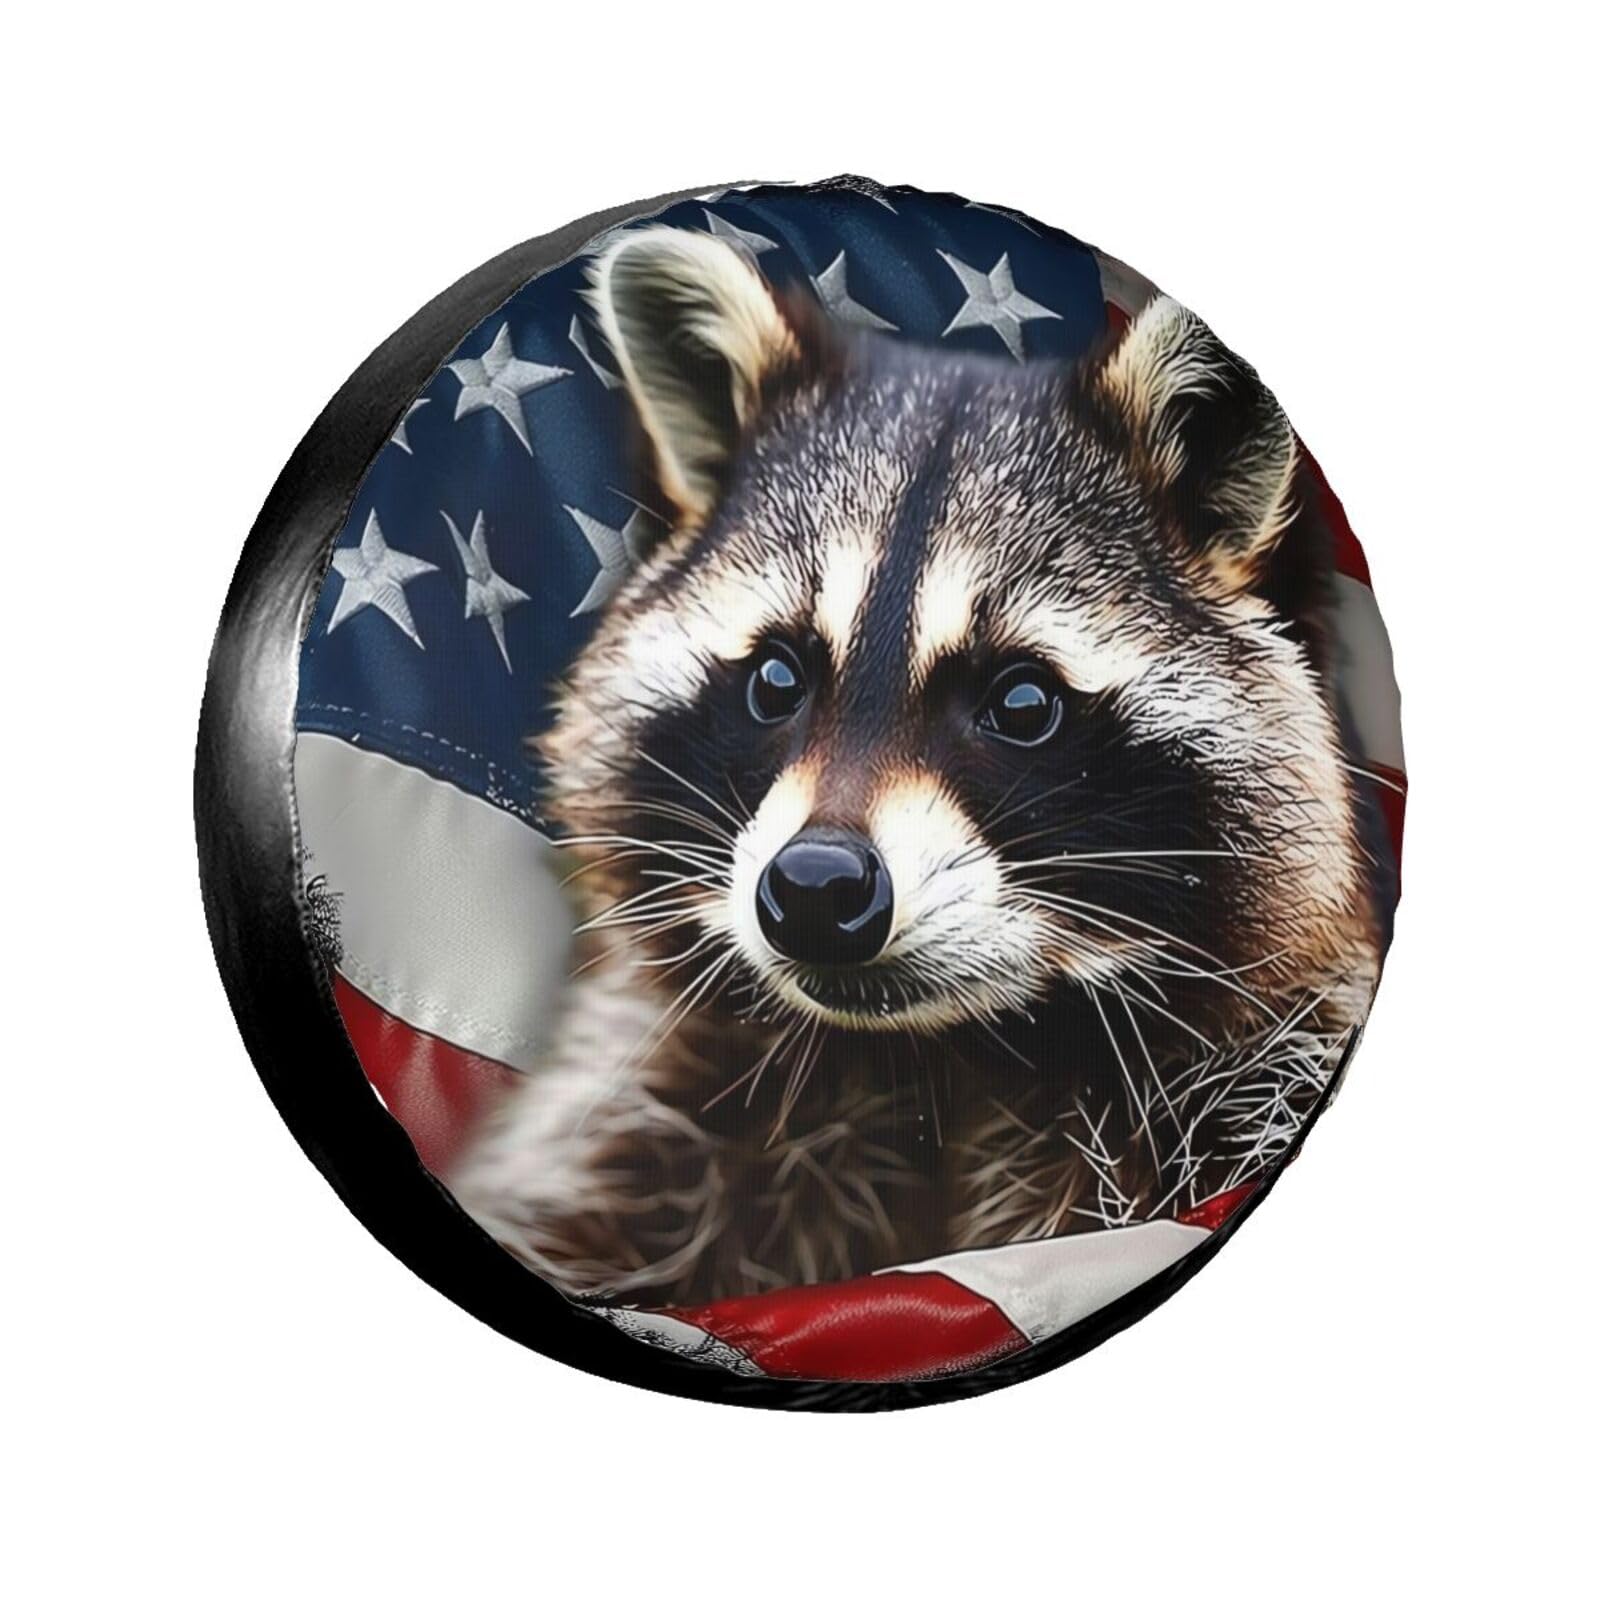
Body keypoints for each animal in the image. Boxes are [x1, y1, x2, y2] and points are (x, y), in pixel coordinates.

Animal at [450, 226, 1383, 1304]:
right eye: (777, 677)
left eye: (1021, 703)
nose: (815, 886)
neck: (941, 1060)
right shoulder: (643, 1113)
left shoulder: (1252, 1074)